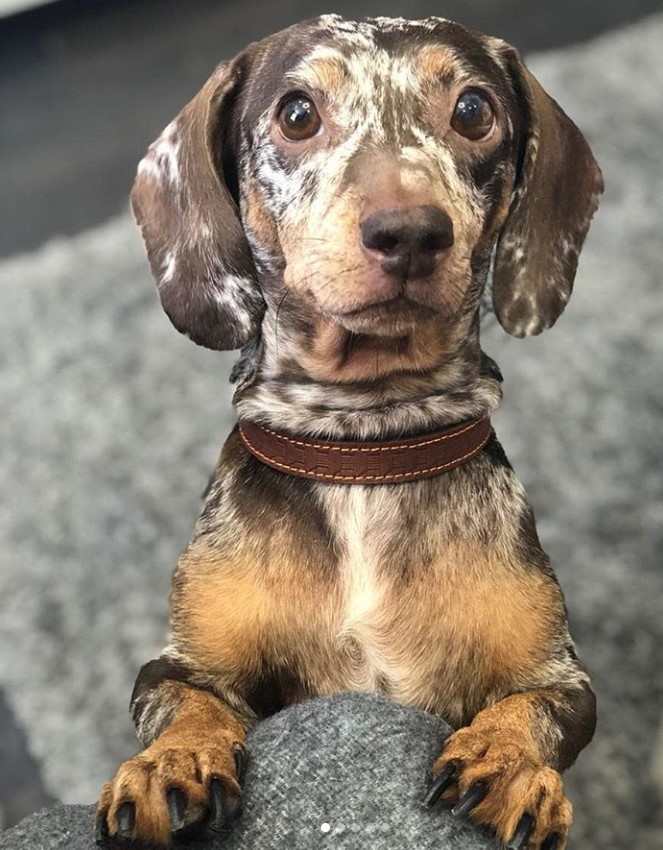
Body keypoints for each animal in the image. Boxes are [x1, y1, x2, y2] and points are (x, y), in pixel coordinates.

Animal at [97, 14, 600, 848]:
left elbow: (532, 710)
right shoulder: (176, 666)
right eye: (297, 114)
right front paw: (172, 763)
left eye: (473, 111)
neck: (365, 446)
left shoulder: (560, 676)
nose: (409, 232)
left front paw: (506, 760)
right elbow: (186, 703)